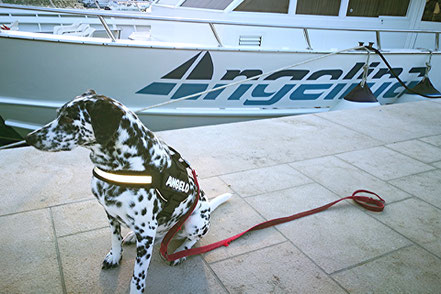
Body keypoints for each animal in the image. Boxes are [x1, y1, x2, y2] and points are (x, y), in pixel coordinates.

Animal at [24, 90, 232, 292]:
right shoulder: (111, 214)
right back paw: (134, 236)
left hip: (194, 222)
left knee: (193, 239)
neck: (118, 166)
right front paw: (115, 256)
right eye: (58, 114)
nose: (29, 137)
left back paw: (181, 252)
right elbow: (115, 239)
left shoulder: (146, 229)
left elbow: (137, 277)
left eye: (68, 118)